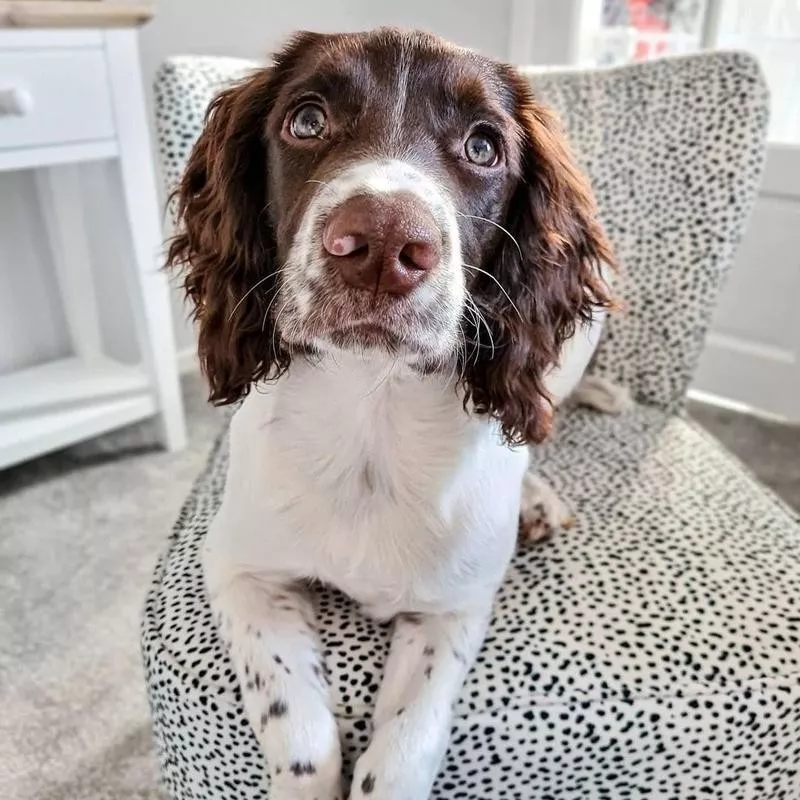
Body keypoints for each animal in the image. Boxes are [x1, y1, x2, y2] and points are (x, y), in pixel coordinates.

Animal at [167, 28, 620, 796]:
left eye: (482, 146)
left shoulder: (454, 609)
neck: (370, 416)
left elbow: (403, 750)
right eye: (307, 120)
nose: (380, 243)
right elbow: (303, 733)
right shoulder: (237, 567)